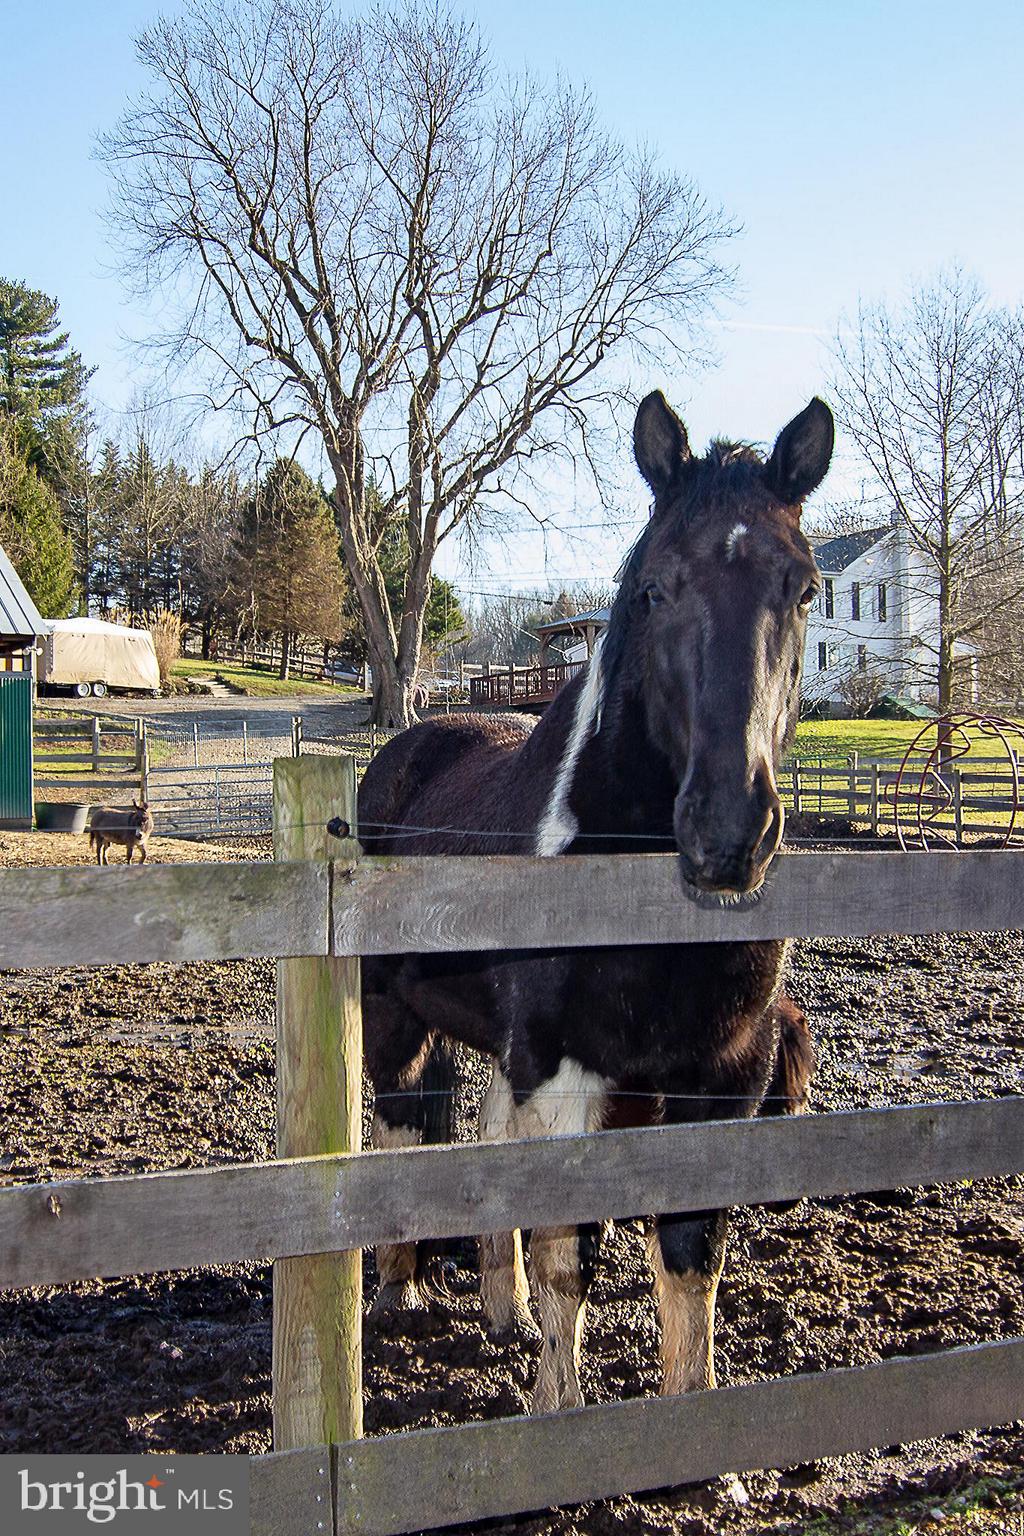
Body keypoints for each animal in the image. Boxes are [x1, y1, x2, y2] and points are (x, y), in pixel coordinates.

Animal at [358, 390, 832, 1414]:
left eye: (806, 588)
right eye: (655, 588)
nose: (727, 832)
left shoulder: (715, 1082)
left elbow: (690, 1264)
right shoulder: (565, 1072)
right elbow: (570, 1255)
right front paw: (558, 1414)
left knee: (489, 1138)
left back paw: (502, 1313)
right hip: (393, 1016)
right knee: (399, 1118)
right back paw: (399, 1290)